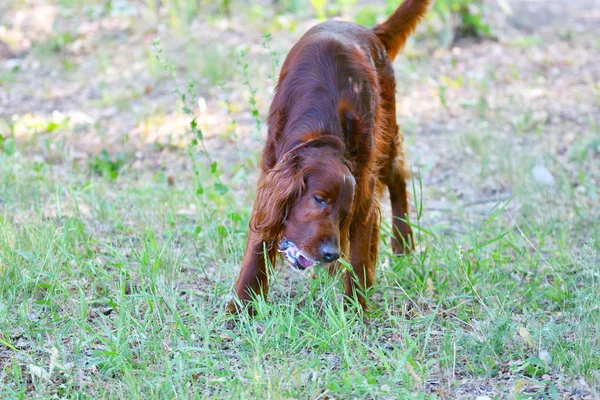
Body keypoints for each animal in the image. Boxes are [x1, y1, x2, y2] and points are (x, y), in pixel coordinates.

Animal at [229, 0, 432, 312]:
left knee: (397, 175)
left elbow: (359, 255)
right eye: (319, 199)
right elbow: (257, 244)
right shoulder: (271, 170)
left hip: (384, 138)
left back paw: (402, 243)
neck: (320, 131)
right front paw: (240, 307)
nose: (329, 254)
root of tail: (369, 31)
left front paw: (355, 310)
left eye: (344, 211)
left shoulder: (362, 189)